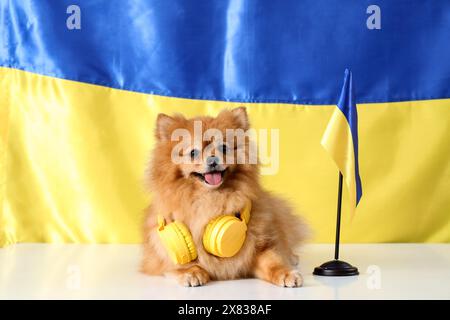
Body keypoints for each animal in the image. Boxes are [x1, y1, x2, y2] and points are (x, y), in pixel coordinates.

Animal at [142, 107, 308, 288]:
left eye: (223, 148)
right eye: (193, 152)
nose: (212, 159)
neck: (212, 200)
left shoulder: (256, 248)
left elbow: (273, 261)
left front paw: (286, 273)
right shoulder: (163, 251)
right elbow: (179, 260)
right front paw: (191, 272)